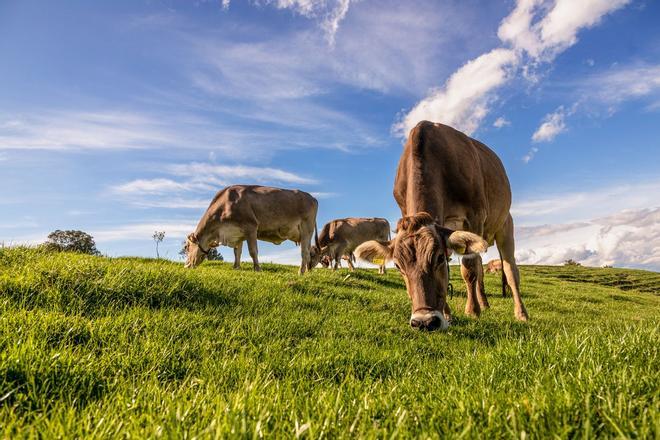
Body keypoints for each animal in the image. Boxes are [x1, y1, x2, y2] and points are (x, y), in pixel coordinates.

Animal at [184, 184, 318, 274]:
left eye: (186, 247)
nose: (186, 266)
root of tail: (311, 197)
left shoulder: (251, 227)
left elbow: (253, 251)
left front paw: (257, 269)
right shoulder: (237, 233)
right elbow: (237, 252)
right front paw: (236, 267)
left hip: (306, 229)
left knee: (304, 252)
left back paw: (301, 272)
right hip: (307, 234)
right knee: (308, 252)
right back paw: (307, 271)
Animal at [356, 120, 532, 330]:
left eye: (439, 258)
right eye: (398, 266)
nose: (424, 321)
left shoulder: (474, 217)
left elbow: (469, 269)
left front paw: (472, 311)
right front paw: (448, 314)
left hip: (505, 224)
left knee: (510, 270)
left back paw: (521, 313)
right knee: (482, 268)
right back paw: (484, 303)